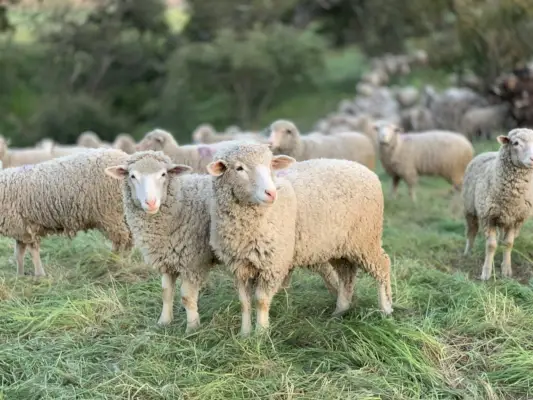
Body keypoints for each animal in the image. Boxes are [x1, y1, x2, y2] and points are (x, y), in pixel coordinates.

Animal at [0, 148, 133, 276]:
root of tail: (125, 156)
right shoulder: (20, 227)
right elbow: (19, 254)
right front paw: (20, 275)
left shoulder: (25, 227)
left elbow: (32, 251)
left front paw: (39, 275)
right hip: (123, 213)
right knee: (130, 238)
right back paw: (124, 261)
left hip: (111, 213)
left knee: (122, 239)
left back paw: (115, 263)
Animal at [104, 150, 216, 332]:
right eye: (132, 176)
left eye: (163, 174)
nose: (150, 202)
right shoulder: (166, 259)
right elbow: (166, 292)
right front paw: (164, 322)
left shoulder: (192, 261)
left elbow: (187, 297)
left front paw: (192, 328)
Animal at [208, 142, 390, 336]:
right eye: (239, 168)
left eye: (270, 165)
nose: (271, 193)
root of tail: (365, 170)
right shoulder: (239, 266)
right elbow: (244, 302)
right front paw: (244, 334)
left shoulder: (273, 263)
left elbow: (261, 300)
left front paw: (261, 334)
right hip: (339, 245)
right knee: (346, 275)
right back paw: (340, 310)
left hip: (366, 238)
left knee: (383, 266)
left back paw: (385, 309)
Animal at [460, 127, 532, 278]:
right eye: (516, 143)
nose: (532, 158)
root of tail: (487, 152)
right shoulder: (488, 217)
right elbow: (491, 245)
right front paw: (486, 272)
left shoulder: (515, 219)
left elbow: (508, 244)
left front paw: (506, 270)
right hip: (469, 209)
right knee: (471, 231)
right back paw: (468, 253)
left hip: (504, 219)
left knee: (501, 238)